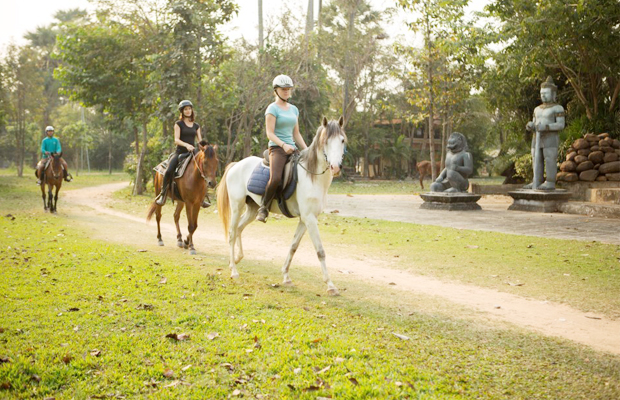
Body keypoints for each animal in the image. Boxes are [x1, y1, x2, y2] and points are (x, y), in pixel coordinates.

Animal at [216, 117, 346, 296]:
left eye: (342, 140)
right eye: (325, 141)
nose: (335, 167)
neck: (312, 176)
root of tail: (235, 165)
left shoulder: (305, 220)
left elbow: (293, 246)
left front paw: (286, 276)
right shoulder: (310, 219)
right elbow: (320, 251)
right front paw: (331, 286)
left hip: (252, 209)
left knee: (239, 229)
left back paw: (235, 259)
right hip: (237, 206)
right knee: (231, 233)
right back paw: (234, 271)